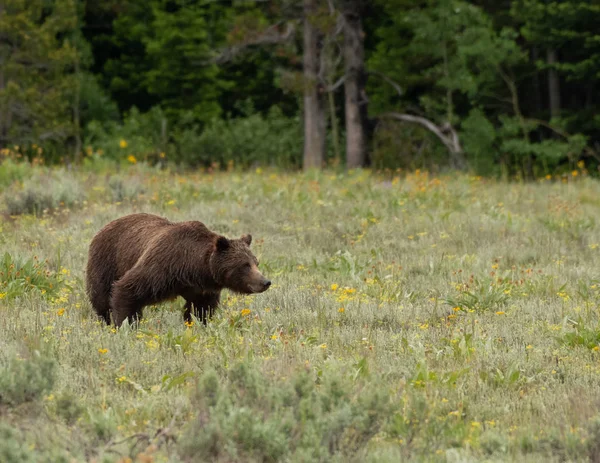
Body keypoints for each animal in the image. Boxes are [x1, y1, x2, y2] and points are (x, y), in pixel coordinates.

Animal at [84, 212, 272, 328]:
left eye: (256, 262)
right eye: (244, 265)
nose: (265, 282)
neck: (193, 267)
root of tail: (106, 225)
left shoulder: (201, 289)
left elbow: (201, 310)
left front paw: (198, 324)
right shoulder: (161, 267)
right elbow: (127, 289)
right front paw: (125, 325)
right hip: (107, 260)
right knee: (100, 295)